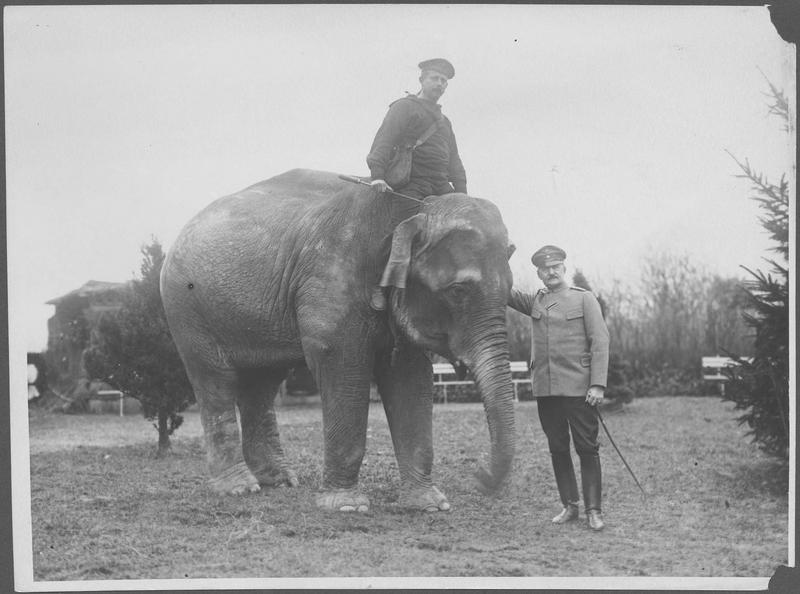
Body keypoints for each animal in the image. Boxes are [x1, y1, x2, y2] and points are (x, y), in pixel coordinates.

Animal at [160, 168, 517, 512]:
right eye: (457, 291)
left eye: (511, 292)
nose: (480, 479)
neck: (410, 211)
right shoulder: (330, 281)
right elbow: (343, 367)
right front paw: (346, 506)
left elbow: (410, 377)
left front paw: (430, 505)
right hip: (188, 309)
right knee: (215, 381)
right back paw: (240, 488)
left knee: (262, 384)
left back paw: (280, 481)